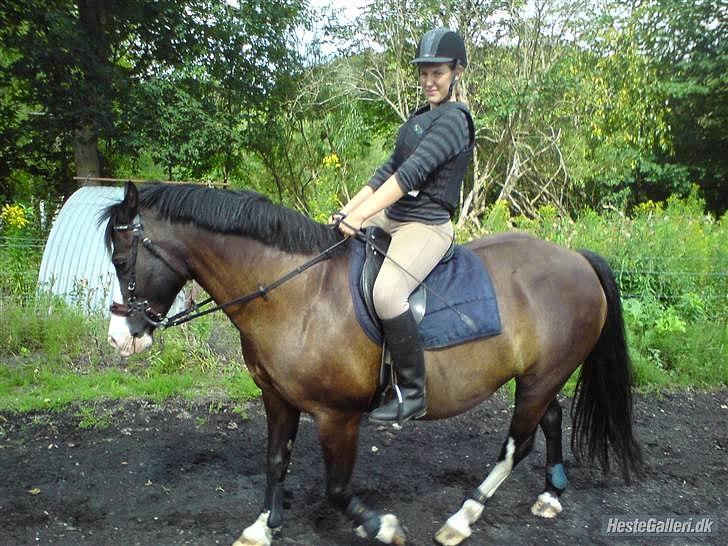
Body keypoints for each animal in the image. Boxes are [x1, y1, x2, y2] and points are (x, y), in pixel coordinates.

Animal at [102, 181, 643, 546]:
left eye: (122, 261)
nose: (119, 339)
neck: (297, 292)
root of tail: (575, 258)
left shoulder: (337, 416)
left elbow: (337, 488)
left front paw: (383, 526)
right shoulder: (277, 399)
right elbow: (275, 461)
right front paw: (261, 527)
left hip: (540, 378)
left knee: (518, 443)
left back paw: (462, 518)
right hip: (538, 376)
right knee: (550, 418)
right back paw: (551, 494)